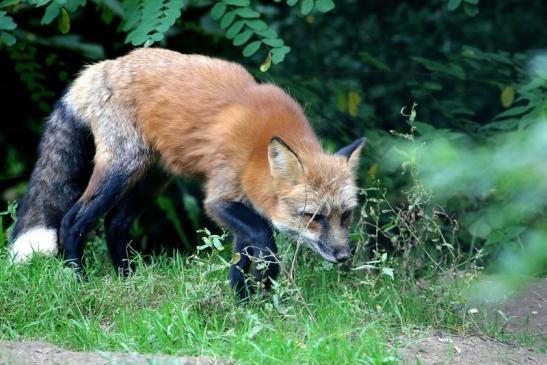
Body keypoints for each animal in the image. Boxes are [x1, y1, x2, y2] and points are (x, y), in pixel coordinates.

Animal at [8, 48, 366, 298]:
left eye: (346, 216)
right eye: (314, 217)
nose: (343, 256)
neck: (256, 148)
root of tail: (99, 67)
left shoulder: (241, 207)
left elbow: (240, 260)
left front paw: (242, 303)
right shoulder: (220, 199)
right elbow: (264, 240)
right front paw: (261, 294)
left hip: (151, 182)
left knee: (115, 224)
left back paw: (127, 280)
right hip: (121, 171)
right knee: (72, 221)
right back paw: (78, 281)